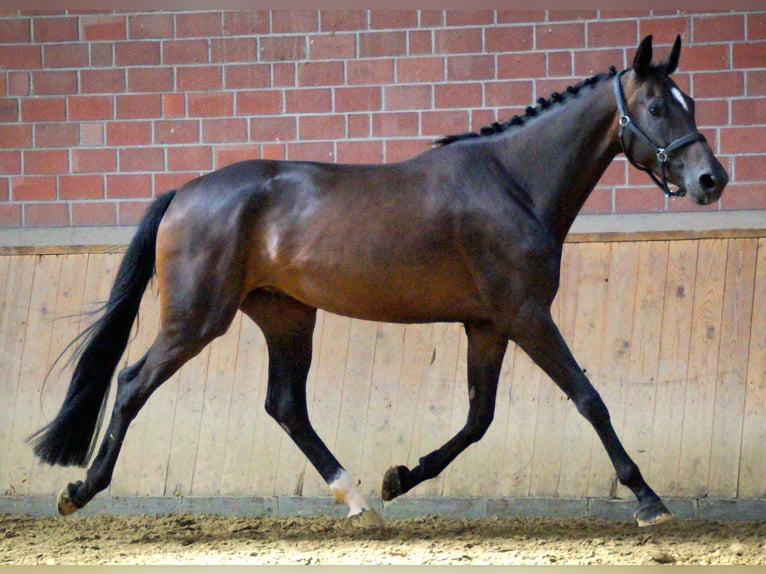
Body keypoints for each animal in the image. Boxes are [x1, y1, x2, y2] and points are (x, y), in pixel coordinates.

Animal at [30, 35, 728, 528]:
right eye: (657, 106)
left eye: (690, 102)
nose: (710, 180)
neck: (514, 182)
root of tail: (184, 192)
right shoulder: (527, 315)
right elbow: (588, 398)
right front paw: (648, 498)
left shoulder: (488, 324)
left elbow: (478, 419)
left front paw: (399, 477)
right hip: (197, 320)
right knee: (131, 384)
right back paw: (79, 491)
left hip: (286, 315)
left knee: (286, 405)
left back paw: (358, 498)